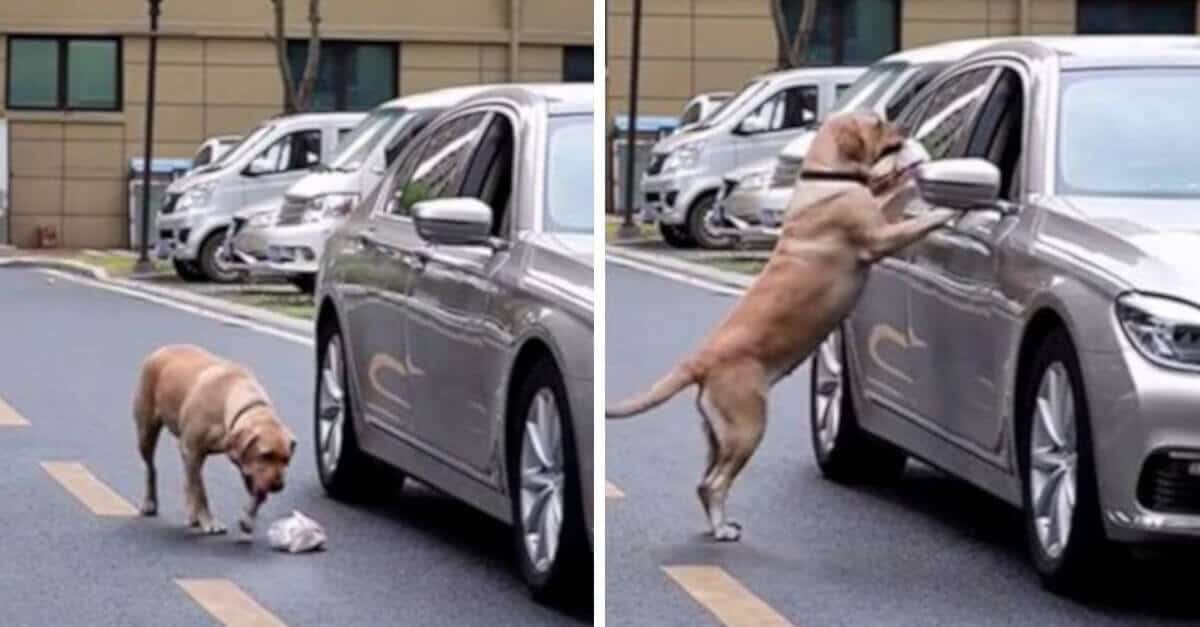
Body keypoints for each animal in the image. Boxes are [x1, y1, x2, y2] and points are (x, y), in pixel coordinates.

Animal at [132, 343, 295, 533]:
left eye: (286, 460)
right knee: (152, 468)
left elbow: (256, 491)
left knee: (188, 479)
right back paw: (150, 502)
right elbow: (201, 491)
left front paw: (248, 518)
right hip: (146, 433)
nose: (279, 485)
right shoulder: (193, 450)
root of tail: (162, 349)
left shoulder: (247, 463)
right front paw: (208, 520)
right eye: (266, 455)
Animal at [604, 111, 960, 535]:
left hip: (717, 436)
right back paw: (722, 529)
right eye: (877, 122)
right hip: (747, 429)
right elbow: (910, 217)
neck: (826, 177)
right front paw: (947, 210)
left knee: (703, 482)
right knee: (713, 484)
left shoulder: (880, 217)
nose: (905, 127)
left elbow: (893, 196)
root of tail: (700, 362)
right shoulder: (879, 237)